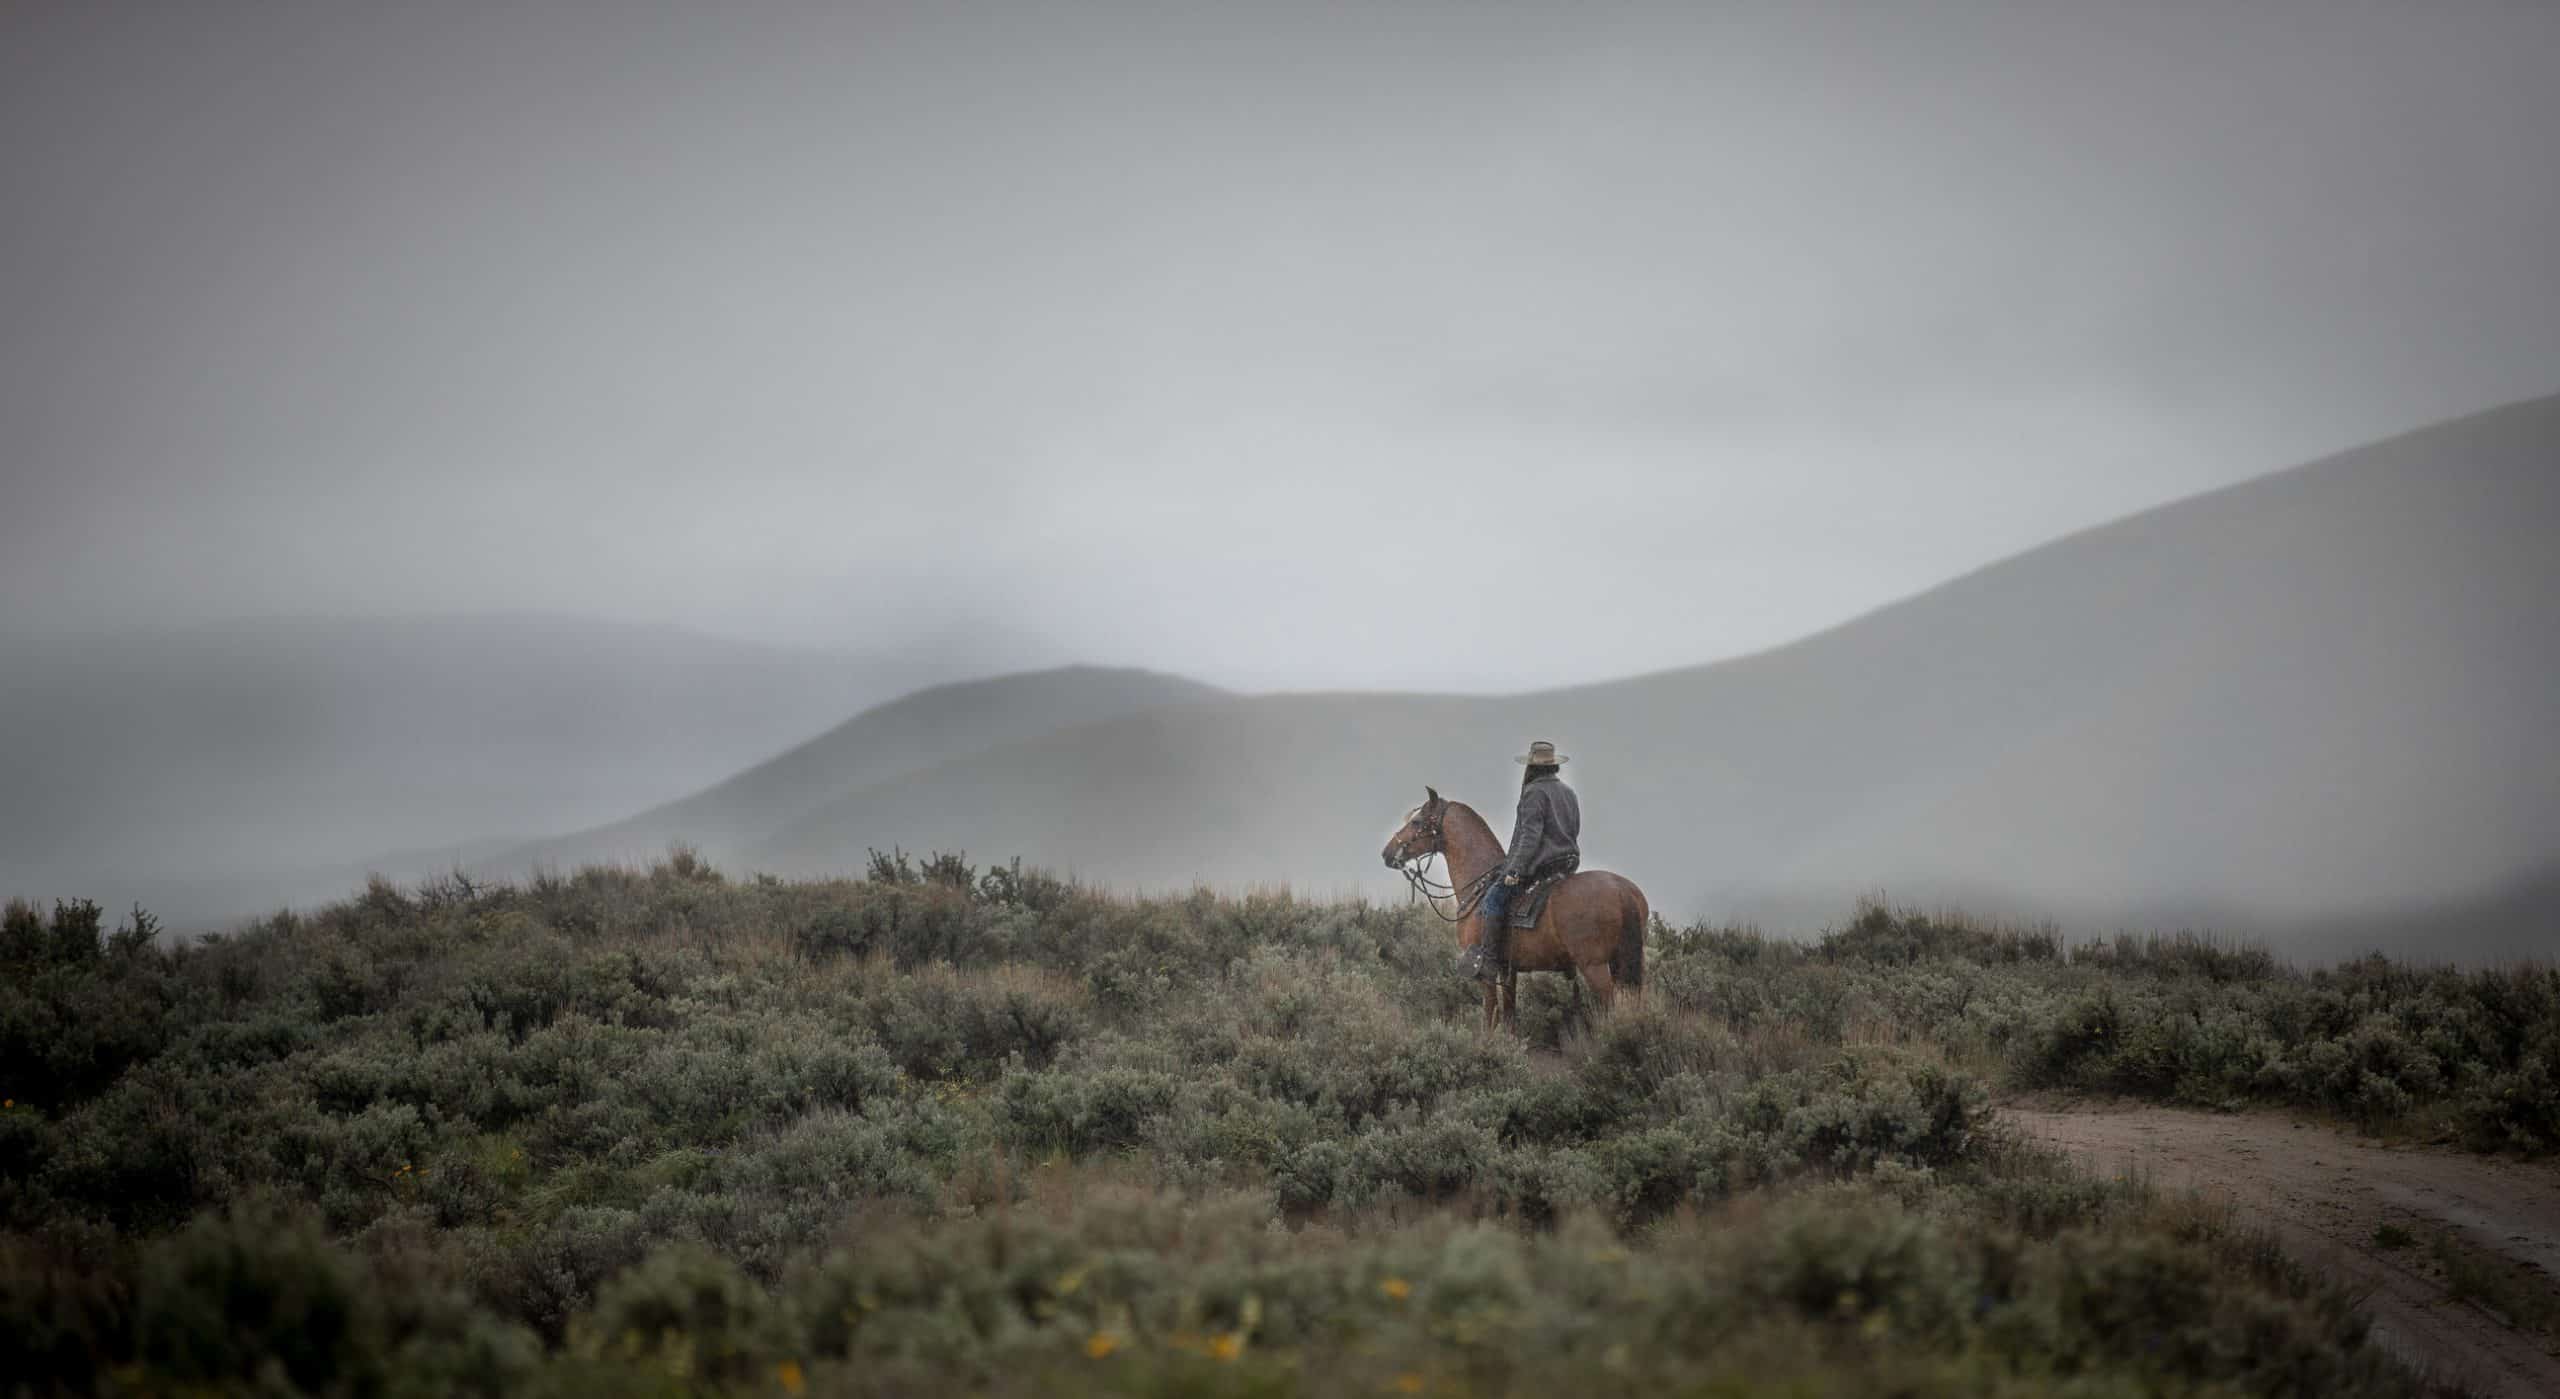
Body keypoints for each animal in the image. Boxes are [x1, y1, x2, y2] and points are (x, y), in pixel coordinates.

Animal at [1392, 778, 1648, 1030]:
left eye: (1416, 822)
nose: (1388, 852)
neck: (1479, 889)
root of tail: (1622, 890)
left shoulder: (1485, 974)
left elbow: (1489, 1016)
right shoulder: (1509, 970)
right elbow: (1509, 1017)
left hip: (1595, 966)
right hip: (1624, 966)